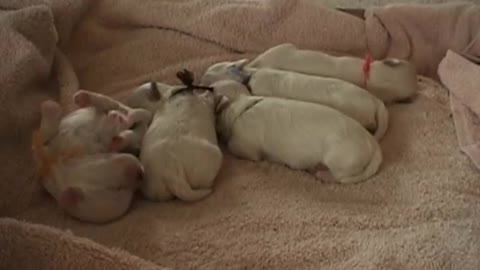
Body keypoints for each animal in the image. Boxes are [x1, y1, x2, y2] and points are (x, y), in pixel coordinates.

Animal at [216, 87, 384, 185]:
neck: (240, 110)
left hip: (338, 160)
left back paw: (322, 174)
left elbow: (233, 147)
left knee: (339, 177)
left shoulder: (244, 147)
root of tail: (374, 146)